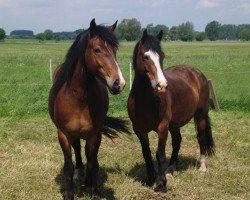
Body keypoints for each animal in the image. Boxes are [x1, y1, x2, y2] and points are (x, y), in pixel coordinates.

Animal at [48, 18, 126, 198]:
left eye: (114, 49)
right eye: (97, 49)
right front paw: (69, 193)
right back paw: (79, 173)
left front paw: (93, 191)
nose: (119, 83)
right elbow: (68, 166)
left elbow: (93, 164)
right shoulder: (63, 135)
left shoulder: (95, 135)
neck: (80, 99)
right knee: (77, 149)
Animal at [128, 29, 214, 192]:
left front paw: (161, 184)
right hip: (174, 124)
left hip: (200, 115)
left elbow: (160, 154)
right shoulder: (139, 129)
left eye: (162, 56)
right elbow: (146, 153)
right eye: (145, 57)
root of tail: (197, 73)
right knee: (177, 142)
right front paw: (150, 179)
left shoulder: (162, 127)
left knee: (201, 138)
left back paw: (202, 167)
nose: (162, 85)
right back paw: (171, 169)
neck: (146, 100)